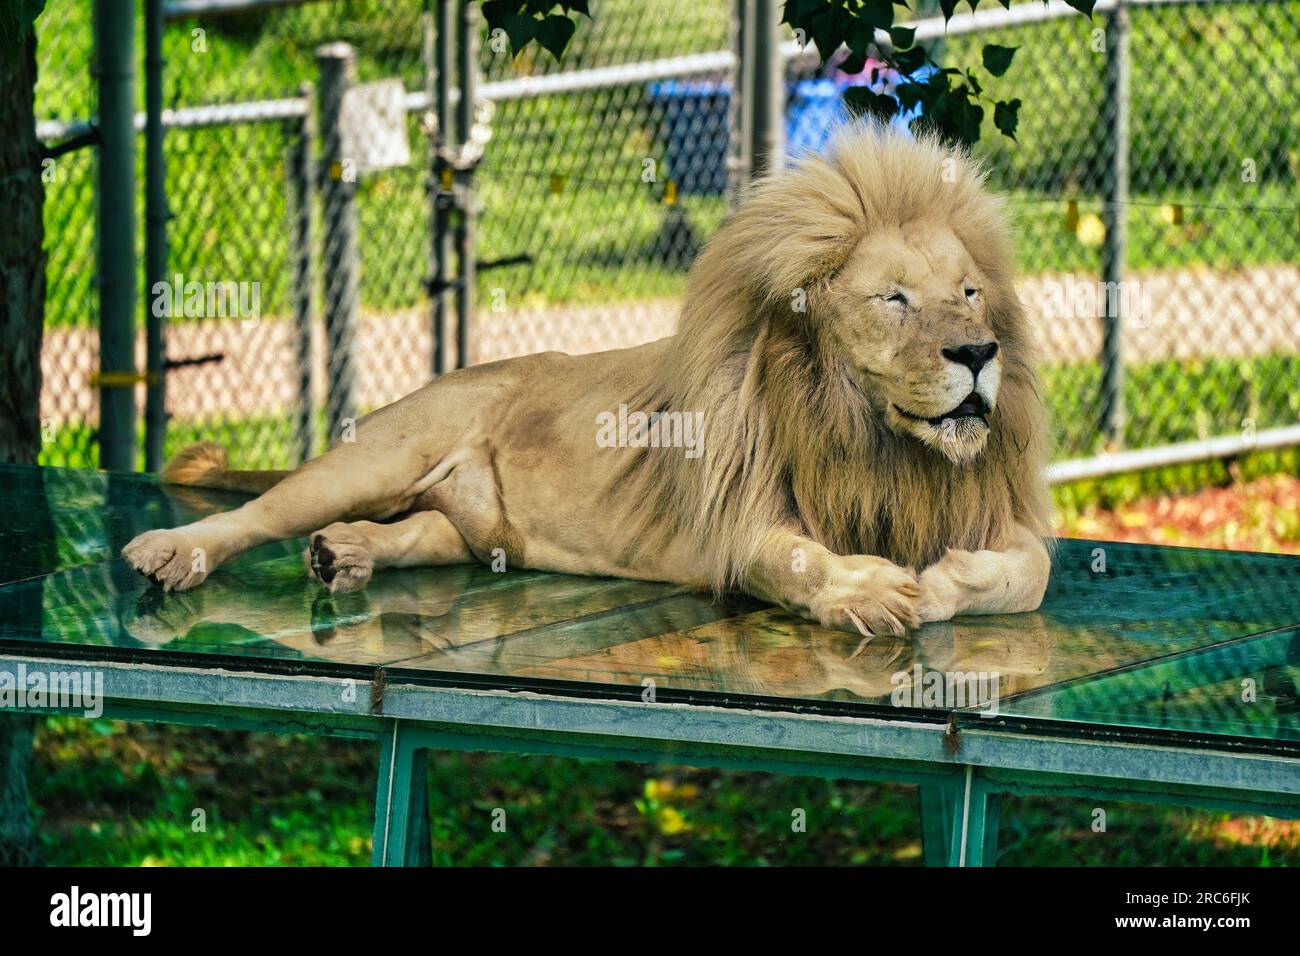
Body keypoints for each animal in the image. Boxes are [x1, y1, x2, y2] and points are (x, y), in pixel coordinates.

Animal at [123, 125, 1053, 637]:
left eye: (970, 292)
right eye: (894, 300)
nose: (978, 352)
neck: (876, 443)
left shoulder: (991, 512)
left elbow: (1032, 569)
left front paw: (944, 581)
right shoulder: (738, 526)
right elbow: (800, 562)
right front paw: (871, 589)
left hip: (470, 530)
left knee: (422, 533)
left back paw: (344, 551)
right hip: (379, 455)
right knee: (256, 514)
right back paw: (171, 553)